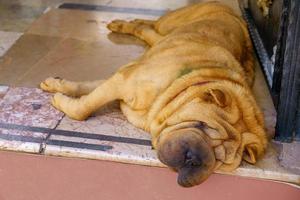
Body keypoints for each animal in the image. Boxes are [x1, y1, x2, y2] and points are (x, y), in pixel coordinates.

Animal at [39, 1, 268, 188]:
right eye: (200, 125)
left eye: (220, 160)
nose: (195, 158)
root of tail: (236, 14)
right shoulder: (124, 80)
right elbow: (84, 107)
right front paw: (59, 95)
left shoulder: (122, 80)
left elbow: (88, 90)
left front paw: (57, 86)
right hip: (171, 24)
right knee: (149, 26)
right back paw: (122, 23)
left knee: (149, 30)